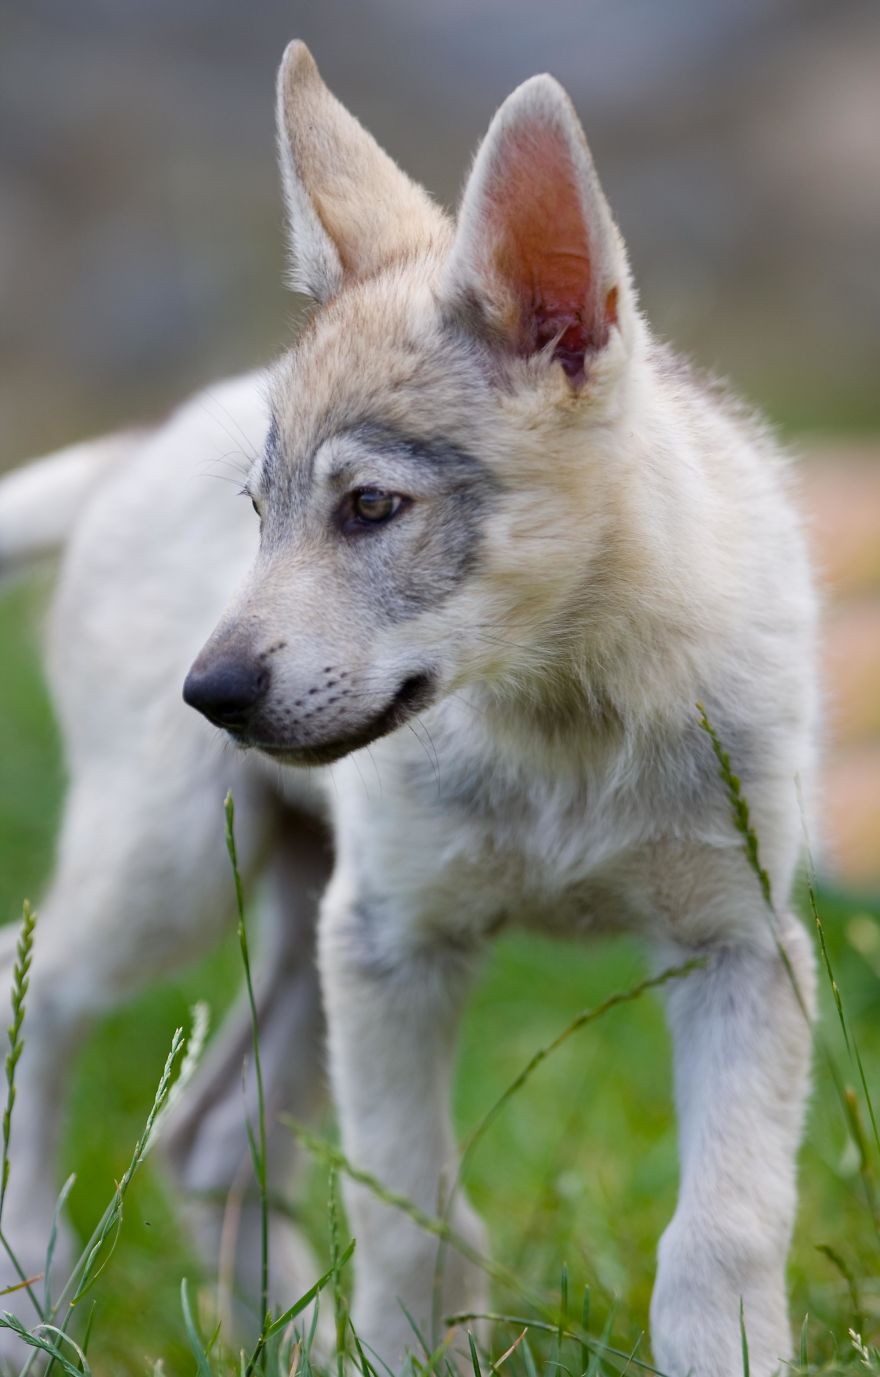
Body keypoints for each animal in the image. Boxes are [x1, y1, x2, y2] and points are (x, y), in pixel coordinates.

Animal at [0, 41, 817, 1377]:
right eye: (259, 512)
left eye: (371, 507)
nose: (207, 692)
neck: (559, 724)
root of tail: (128, 453)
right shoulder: (392, 945)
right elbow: (412, 1221)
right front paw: (404, 1348)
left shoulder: (739, 946)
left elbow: (721, 1233)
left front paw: (729, 1352)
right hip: (171, 881)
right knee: (35, 1002)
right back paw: (31, 1285)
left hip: (292, 914)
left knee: (205, 1138)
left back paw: (280, 1348)